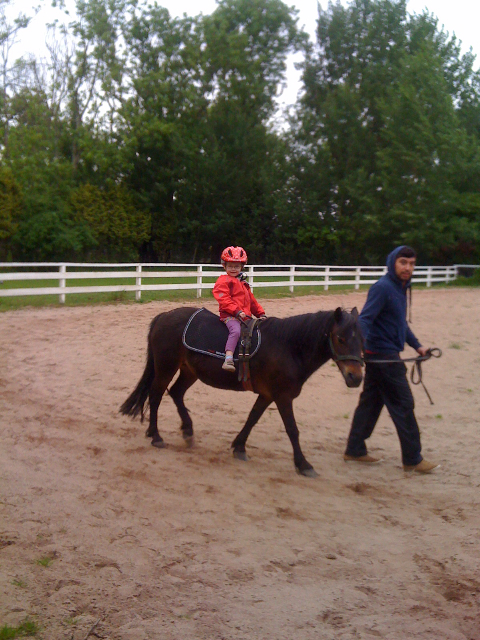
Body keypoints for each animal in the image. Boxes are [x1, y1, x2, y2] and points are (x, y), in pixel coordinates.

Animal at [121, 308, 364, 478]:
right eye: (340, 339)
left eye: (362, 339)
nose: (356, 377)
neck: (288, 347)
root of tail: (164, 316)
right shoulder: (282, 397)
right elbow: (292, 430)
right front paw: (303, 464)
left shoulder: (267, 395)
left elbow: (252, 418)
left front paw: (239, 447)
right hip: (166, 368)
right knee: (156, 396)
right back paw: (156, 436)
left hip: (189, 371)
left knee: (176, 393)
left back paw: (187, 431)